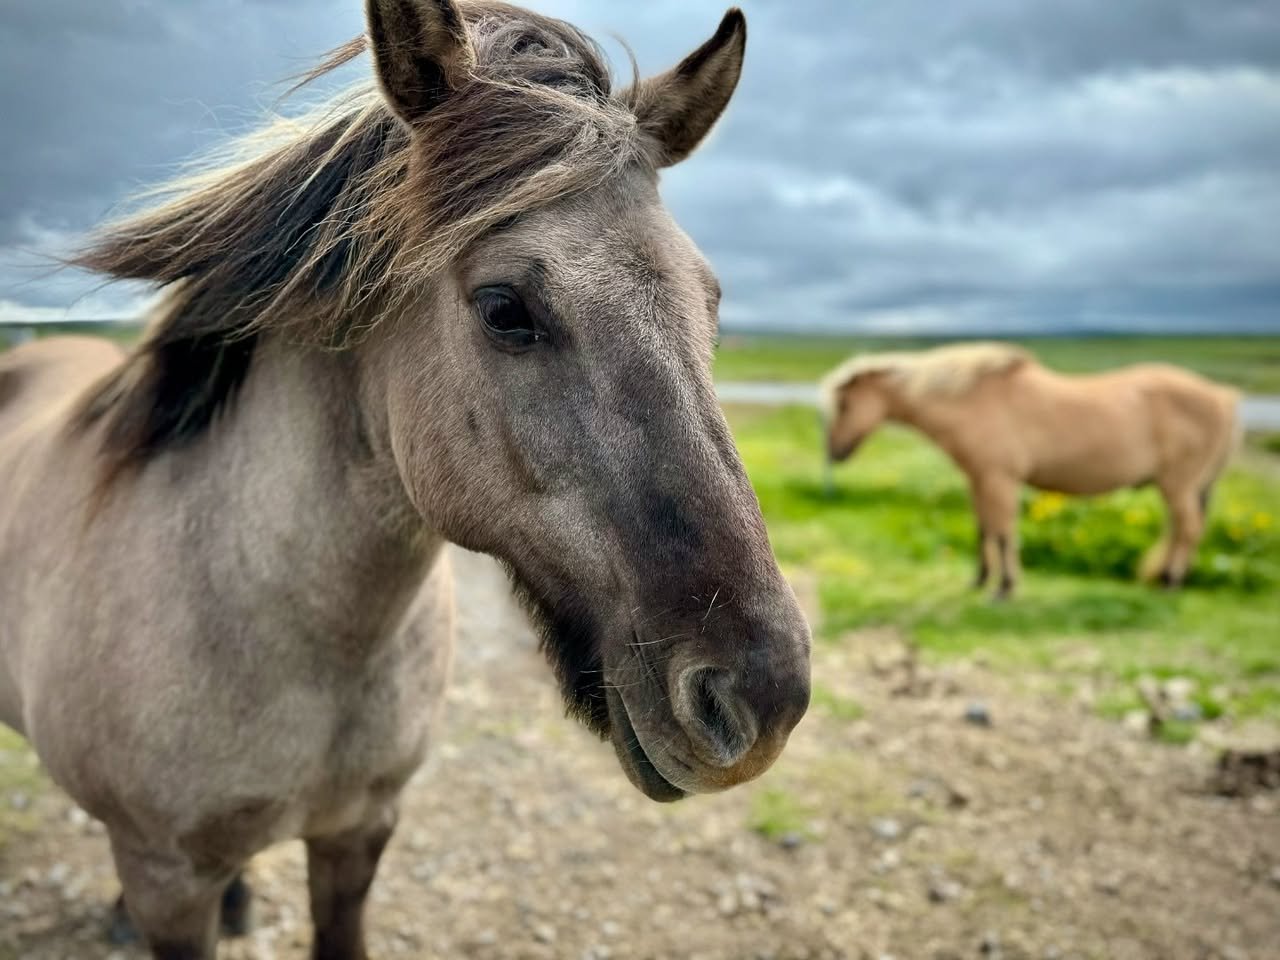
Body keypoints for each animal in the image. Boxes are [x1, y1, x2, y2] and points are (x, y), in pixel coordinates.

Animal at [820, 342, 1240, 598]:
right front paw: (979, 580)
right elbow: (984, 529)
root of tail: (1224, 397)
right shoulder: (979, 479)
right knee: (1180, 530)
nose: (833, 453)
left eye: (844, 405)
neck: (970, 400)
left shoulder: (999, 479)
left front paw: (1004, 588)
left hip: (1178, 485)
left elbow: (1004, 532)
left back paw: (1171, 583)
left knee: (1188, 529)